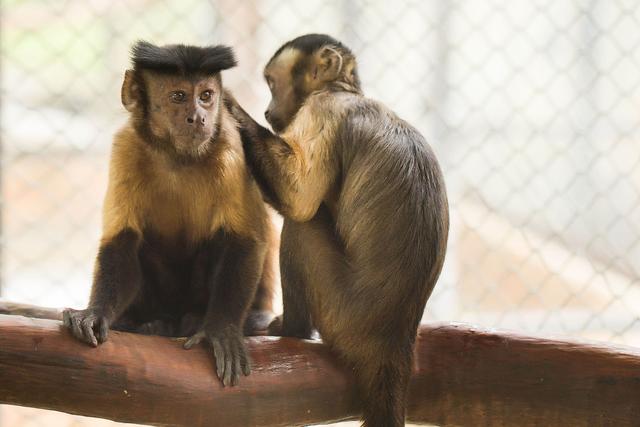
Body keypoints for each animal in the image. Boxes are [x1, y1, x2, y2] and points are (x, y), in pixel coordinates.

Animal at [60, 41, 278, 388]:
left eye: (206, 95)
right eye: (178, 96)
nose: (198, 117)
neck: (177, 155)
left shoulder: (229, 143)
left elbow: (244, 240)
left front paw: (221, 330)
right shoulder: (126, 146)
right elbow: (122, 240)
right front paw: (95, 313)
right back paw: (151, 323)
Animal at [231, 35, 450, 426]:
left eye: (272, 84)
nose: (269, 111)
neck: (344, 90)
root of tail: (392, 342)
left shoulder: (324, 108)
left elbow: (299, 200)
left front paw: (229, 106)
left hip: (341, 314)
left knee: (302, 226)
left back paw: (293, 330)